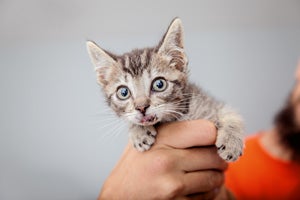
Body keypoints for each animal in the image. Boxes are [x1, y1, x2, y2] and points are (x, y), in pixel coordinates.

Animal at [86, 18, 244, 162]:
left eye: (159, 84)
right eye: (123, 92)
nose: (141, 107)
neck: (173, 118)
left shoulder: (210, 103)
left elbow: (231, 114)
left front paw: (231, 142)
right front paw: (138, 131)